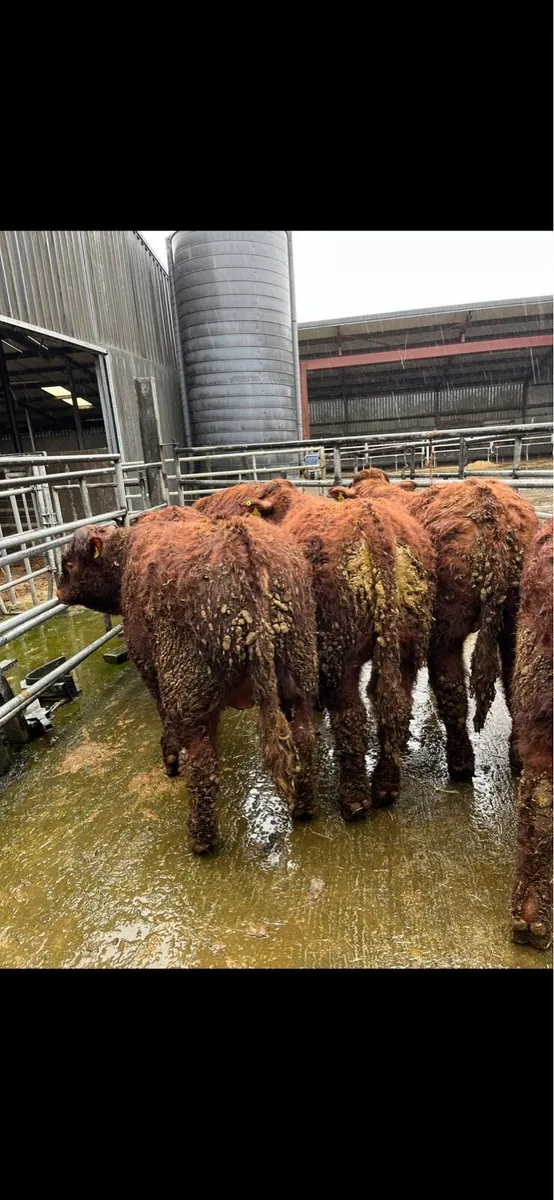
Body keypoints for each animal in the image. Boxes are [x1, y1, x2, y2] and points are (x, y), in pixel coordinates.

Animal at [57, 506, 318, 853]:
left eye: (69, 564)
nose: (58, 591)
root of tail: (239, 540)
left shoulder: (152, 669)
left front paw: (169, 758)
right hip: (298, 677)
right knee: (302, 738)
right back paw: (303, 808)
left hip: (187, 690)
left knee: (202, 764)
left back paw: (200, 840)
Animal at [196, 479, 435, 814]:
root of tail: (374, 523)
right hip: (408, 646)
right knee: (397, 706)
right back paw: (385, 786)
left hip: (341, 653)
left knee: (351, 714)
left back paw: (355, 798)